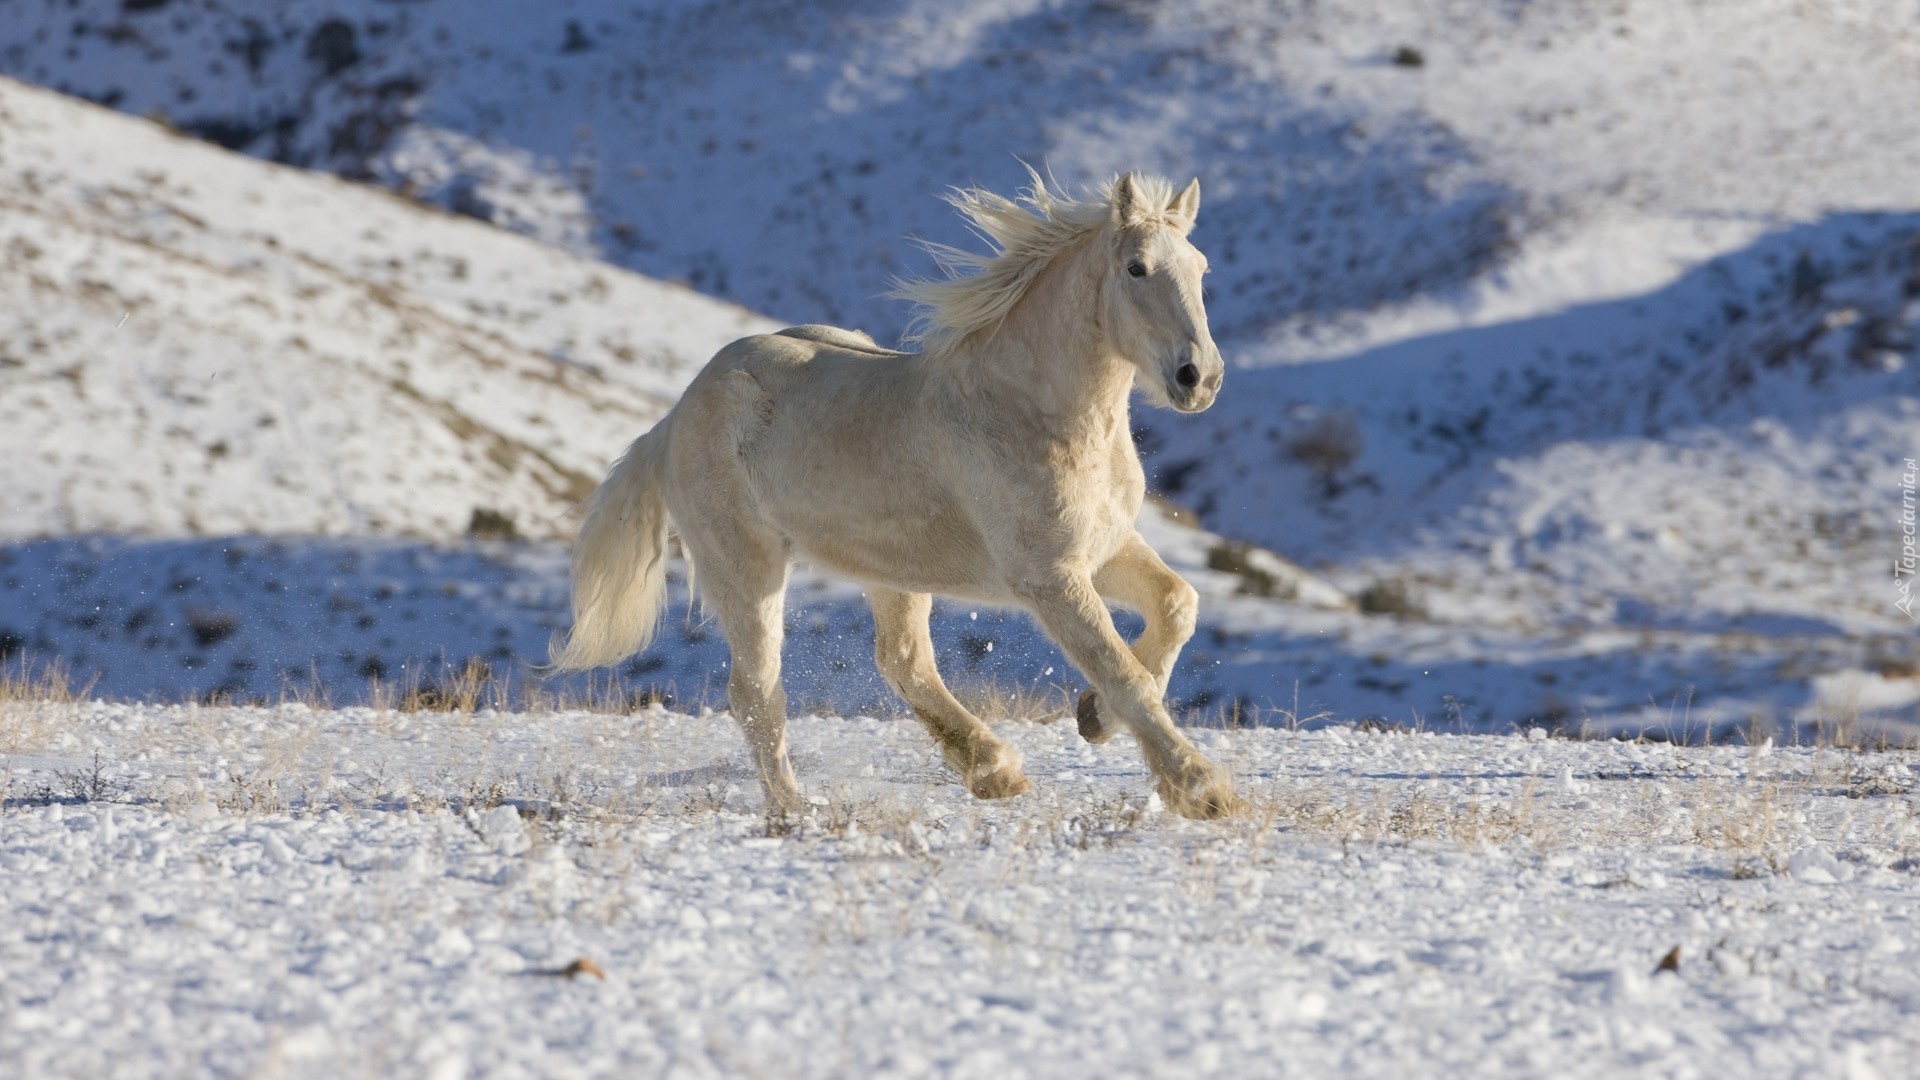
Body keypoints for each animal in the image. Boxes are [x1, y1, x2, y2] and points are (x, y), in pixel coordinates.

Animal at [552, 170, 1244, 814]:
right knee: (756, 692)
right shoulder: (1049, 576)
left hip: (892, 569)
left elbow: (1177, 606)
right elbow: (1123, 671)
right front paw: (1202, 789)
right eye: (1136, 267)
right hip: (744, 566)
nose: (1200, 378)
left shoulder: (1105, 547)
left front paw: (1094, 718)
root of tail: (673, 417)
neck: (1031, 411)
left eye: (1200, 268)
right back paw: (794, 813)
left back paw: (994, 772)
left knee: (902, 660)